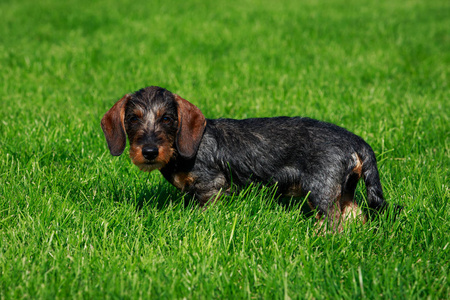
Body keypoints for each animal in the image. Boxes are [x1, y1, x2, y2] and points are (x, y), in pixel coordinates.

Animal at [101, 85, 398, 231]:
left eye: (167, 118)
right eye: (133, 118)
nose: (149, 151)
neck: (182, 149)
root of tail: (356, 141)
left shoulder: (212, 186)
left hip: (321, 190)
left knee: (333, 222)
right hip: (343, 190)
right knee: (355, 215)